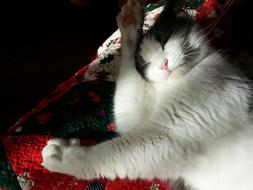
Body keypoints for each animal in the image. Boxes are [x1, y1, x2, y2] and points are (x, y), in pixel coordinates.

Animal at [41, 0, 253, 189]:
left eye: (164, 40)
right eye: (145, 63)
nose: (163, 64)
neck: (174, 86)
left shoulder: (167, 136)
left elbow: (106, 154)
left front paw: (60, 157)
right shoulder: (135, 117)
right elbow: (127, 98)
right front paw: (129, 23)